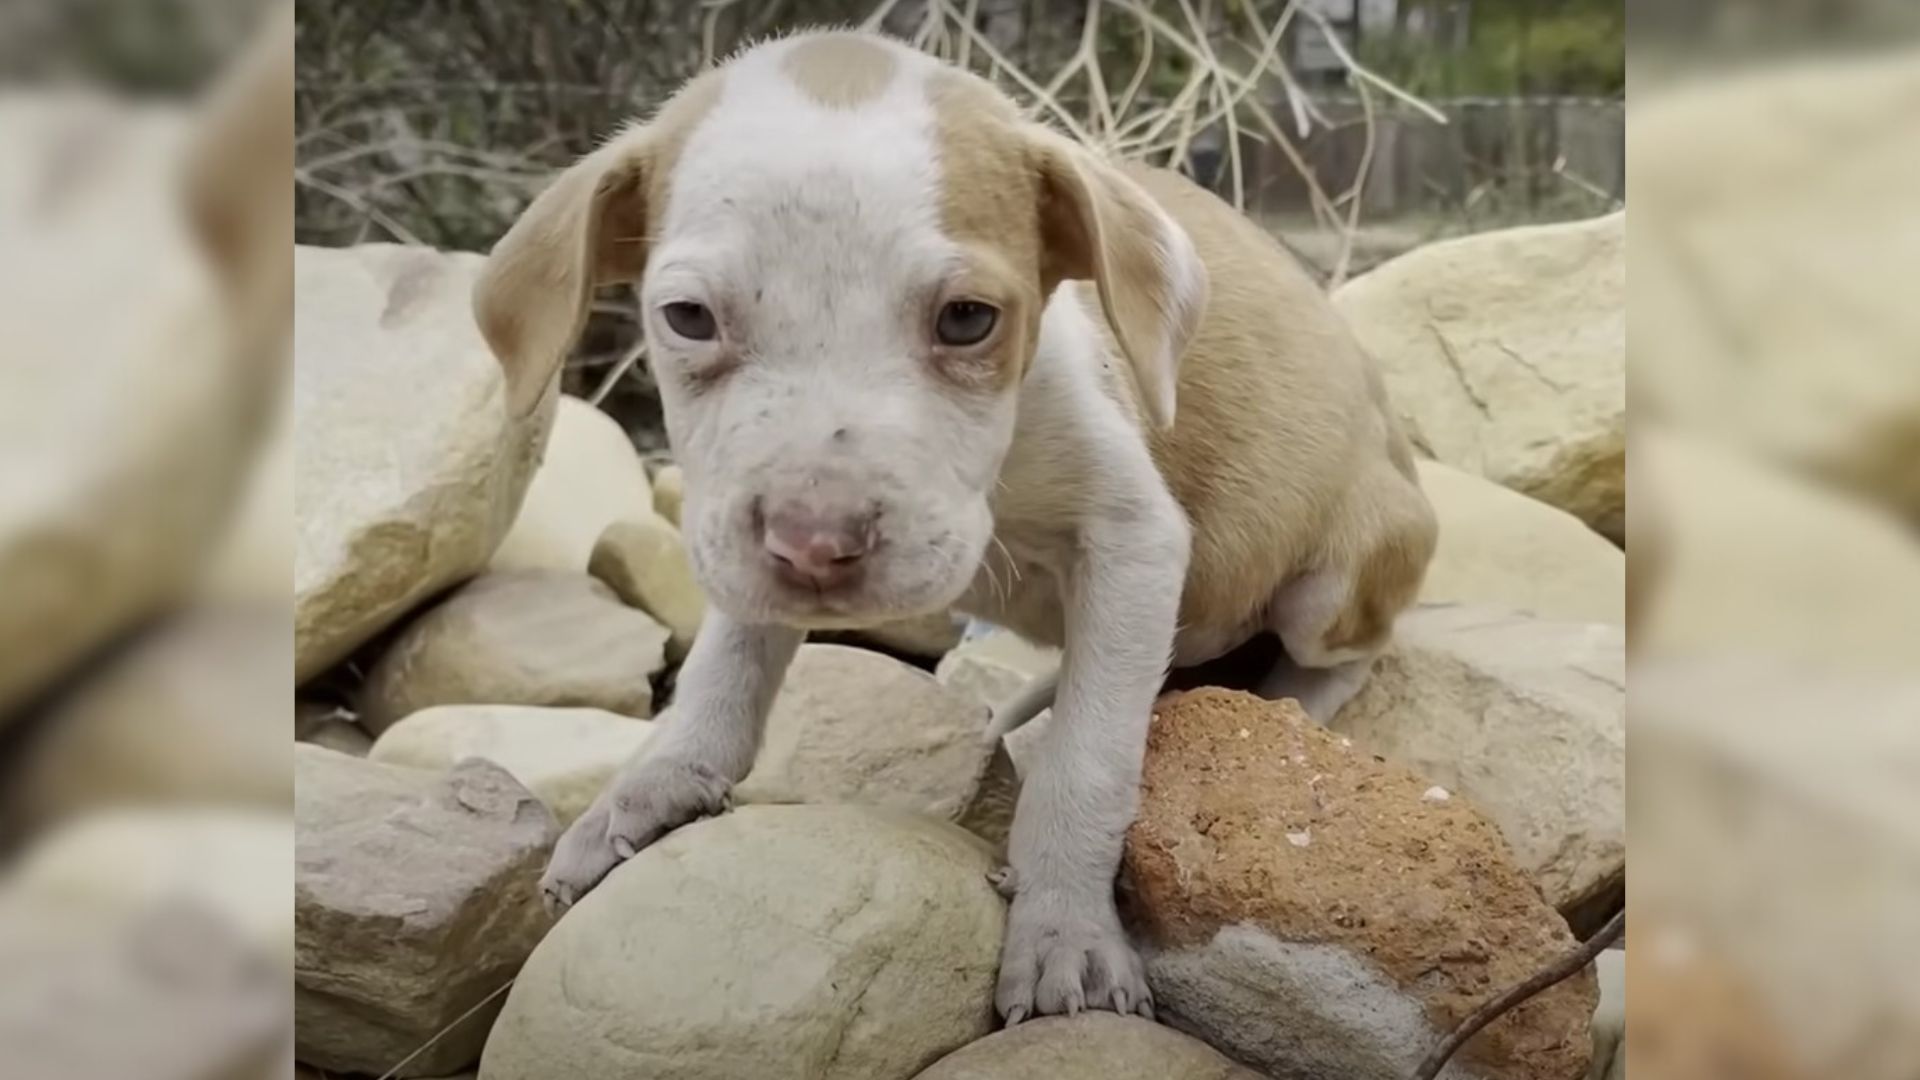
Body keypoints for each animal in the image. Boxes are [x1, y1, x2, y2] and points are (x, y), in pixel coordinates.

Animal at [472, 29, 1436, 1022]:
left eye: (969, 319)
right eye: (688, 319)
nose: (816, 547)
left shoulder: (1132, 539)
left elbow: (1087, 763)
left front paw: (1065, 929)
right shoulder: (737, 533)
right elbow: (724, 666)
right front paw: (652, 784)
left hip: (1337, 584)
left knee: (1345, 652)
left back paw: (1286, 702)